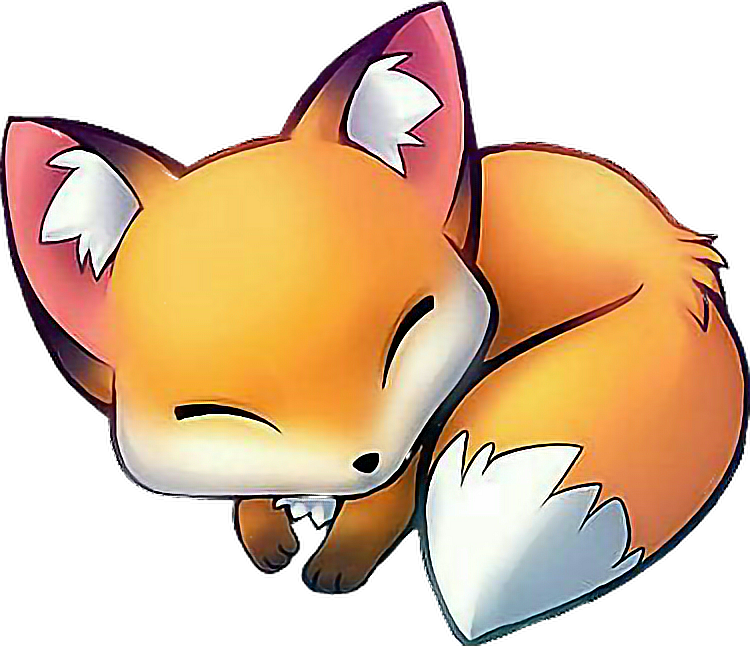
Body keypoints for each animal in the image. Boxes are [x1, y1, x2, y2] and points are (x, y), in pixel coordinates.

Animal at [2, 2, 746, 643]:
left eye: (409, 329)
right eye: (212, 411)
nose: (363, 459)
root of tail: (674, 247)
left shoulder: (421, 434)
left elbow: (379, 509)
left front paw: (339, 563)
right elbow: (253, 499)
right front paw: (266, 534)